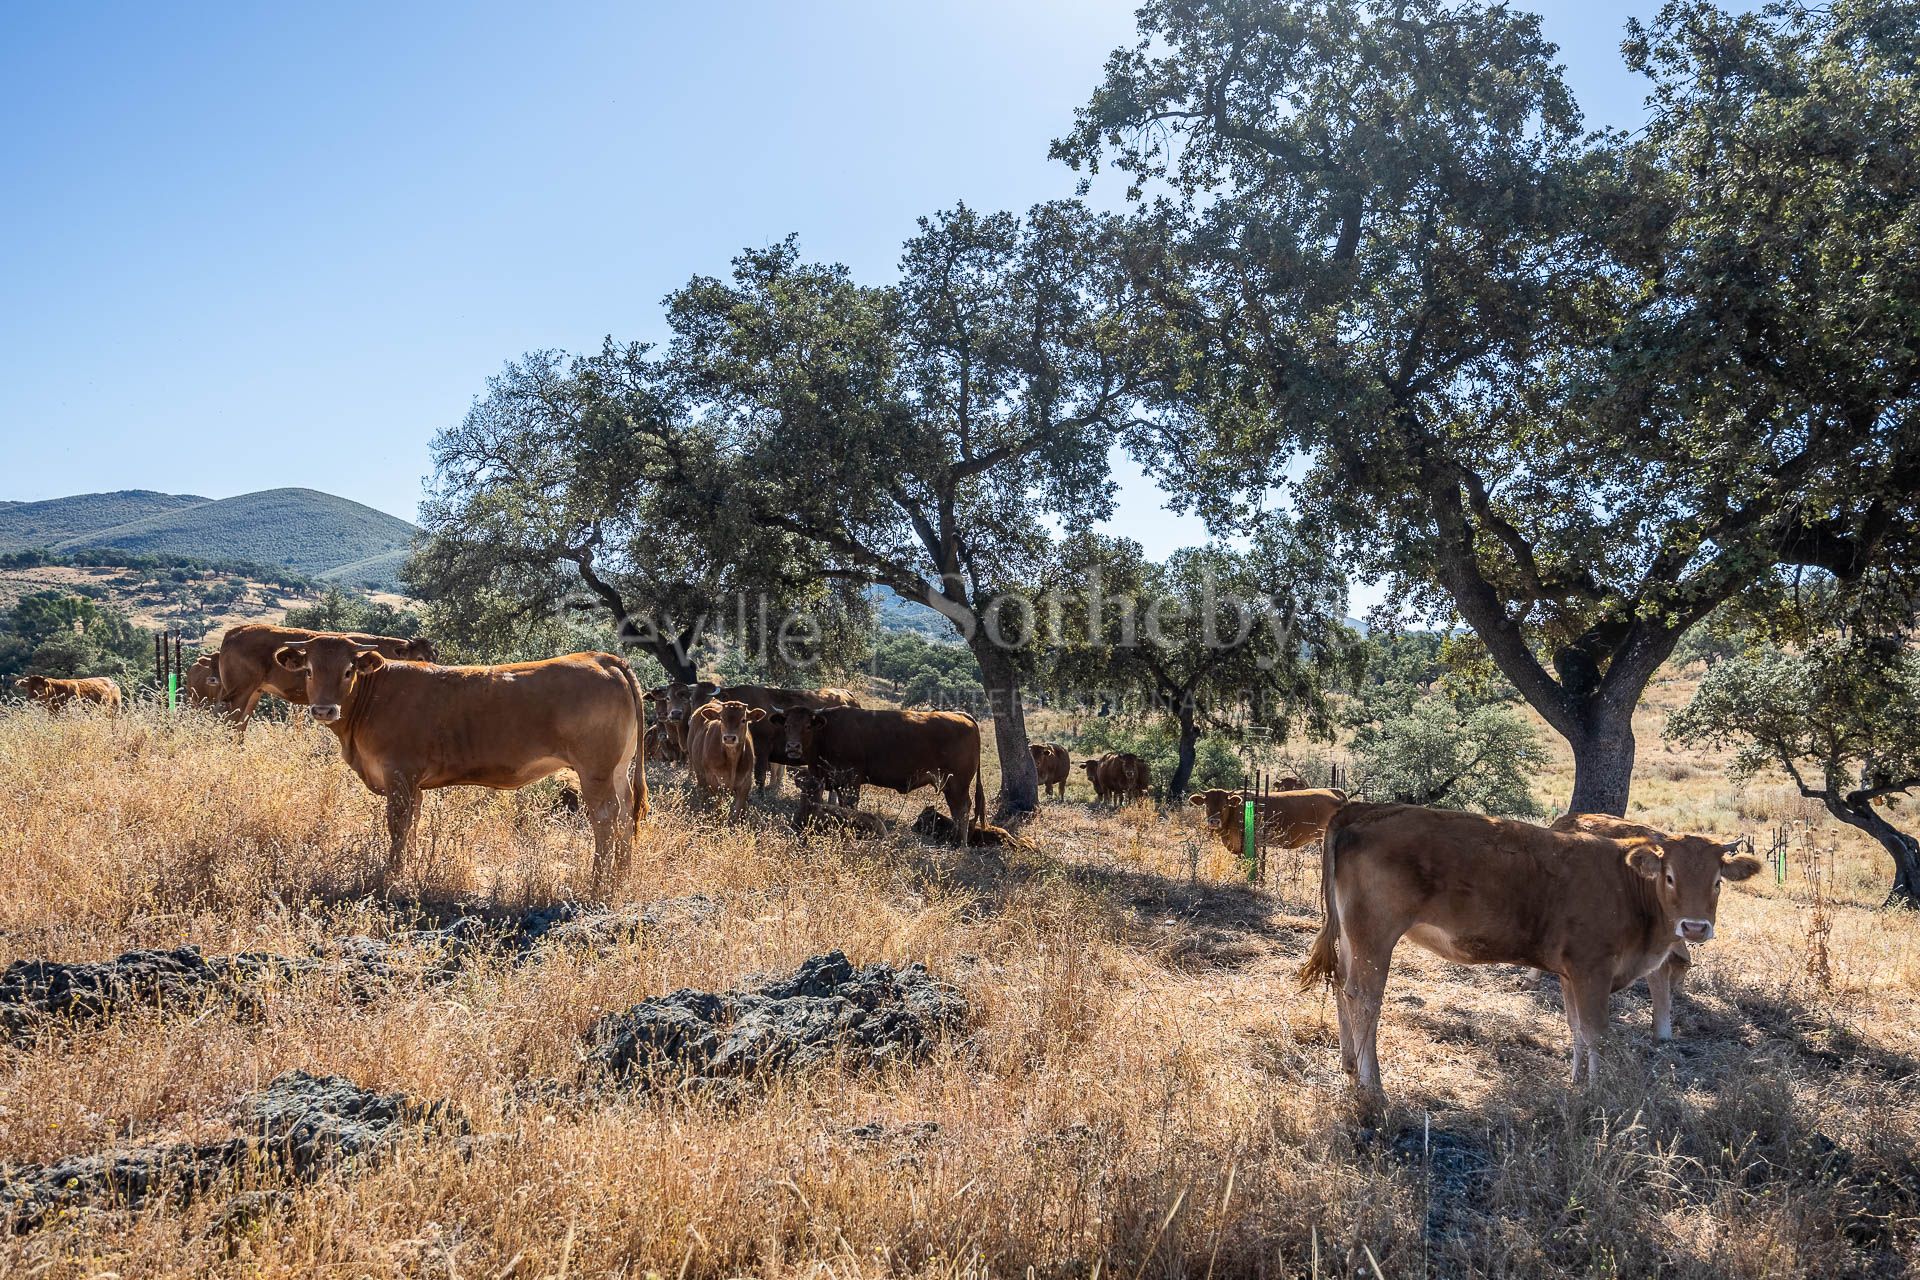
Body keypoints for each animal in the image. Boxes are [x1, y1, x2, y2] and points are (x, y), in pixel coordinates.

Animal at [268, 633, 652, 890]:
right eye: (309, 670)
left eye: (349, 671)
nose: (323, 710)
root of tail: (600, 657)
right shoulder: (413, 782)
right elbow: (412, 824)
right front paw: (408, 870)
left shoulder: (399, 772)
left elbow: (397, 824)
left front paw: (392, 875)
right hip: (618, 769)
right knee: (624, 815)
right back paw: (623, 877)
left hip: (595, 770)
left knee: (605, 818)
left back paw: (599, 883)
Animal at [1297, 802, 1758, 1090]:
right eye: (1670, 877)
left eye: (1717, 881)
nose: (1695, 927)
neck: (1627, 886)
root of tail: (1365, 809)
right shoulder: (1592, 969)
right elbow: (1597, 1034)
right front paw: (1599, 1095)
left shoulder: (1571, 974)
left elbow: (1576, 1030)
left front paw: (1576, 1084)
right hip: (1376, 934)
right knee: (1365, 998)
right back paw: (1373, 1087)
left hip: (1354, 937)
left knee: (1341, 985)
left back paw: (1350, 1065)